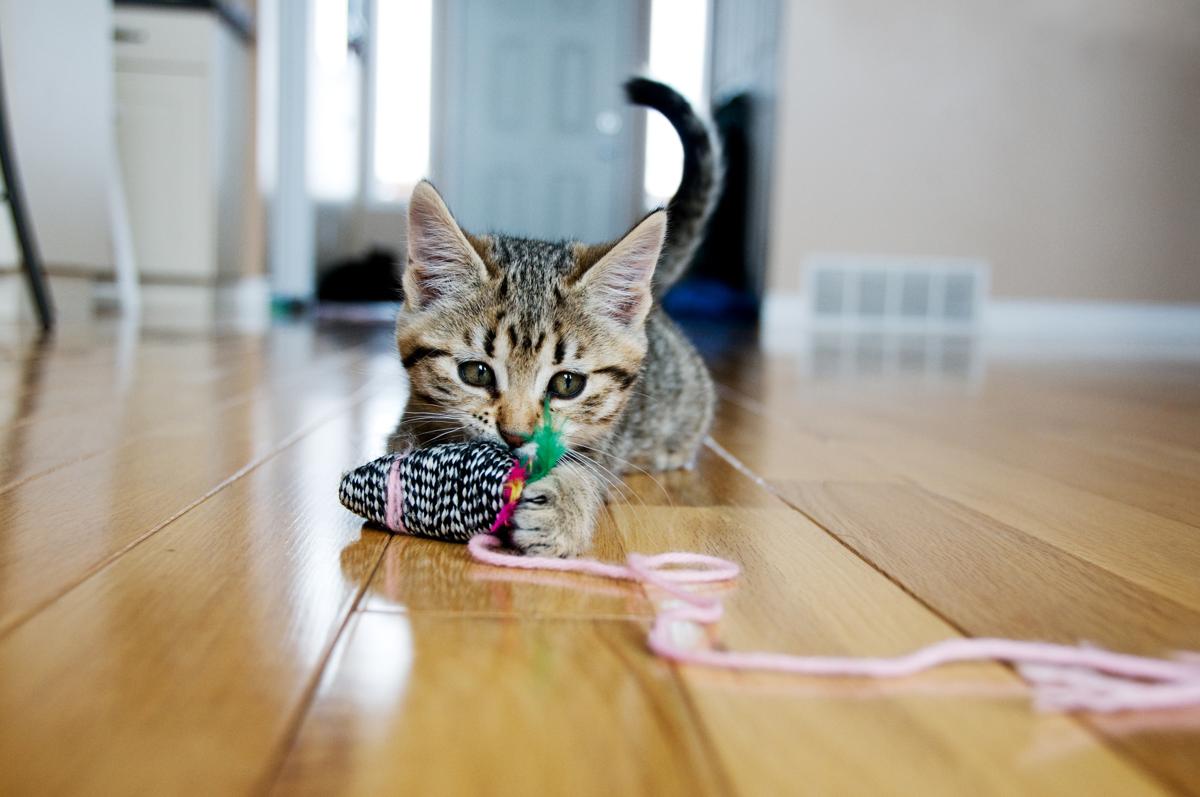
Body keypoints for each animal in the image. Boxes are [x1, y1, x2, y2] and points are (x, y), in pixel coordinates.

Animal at [388, 79, 715, 554]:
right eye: (475, 373)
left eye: (567, 384)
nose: (515, 436)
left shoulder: (604, 442)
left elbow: (587, 468)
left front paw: (564, 508)